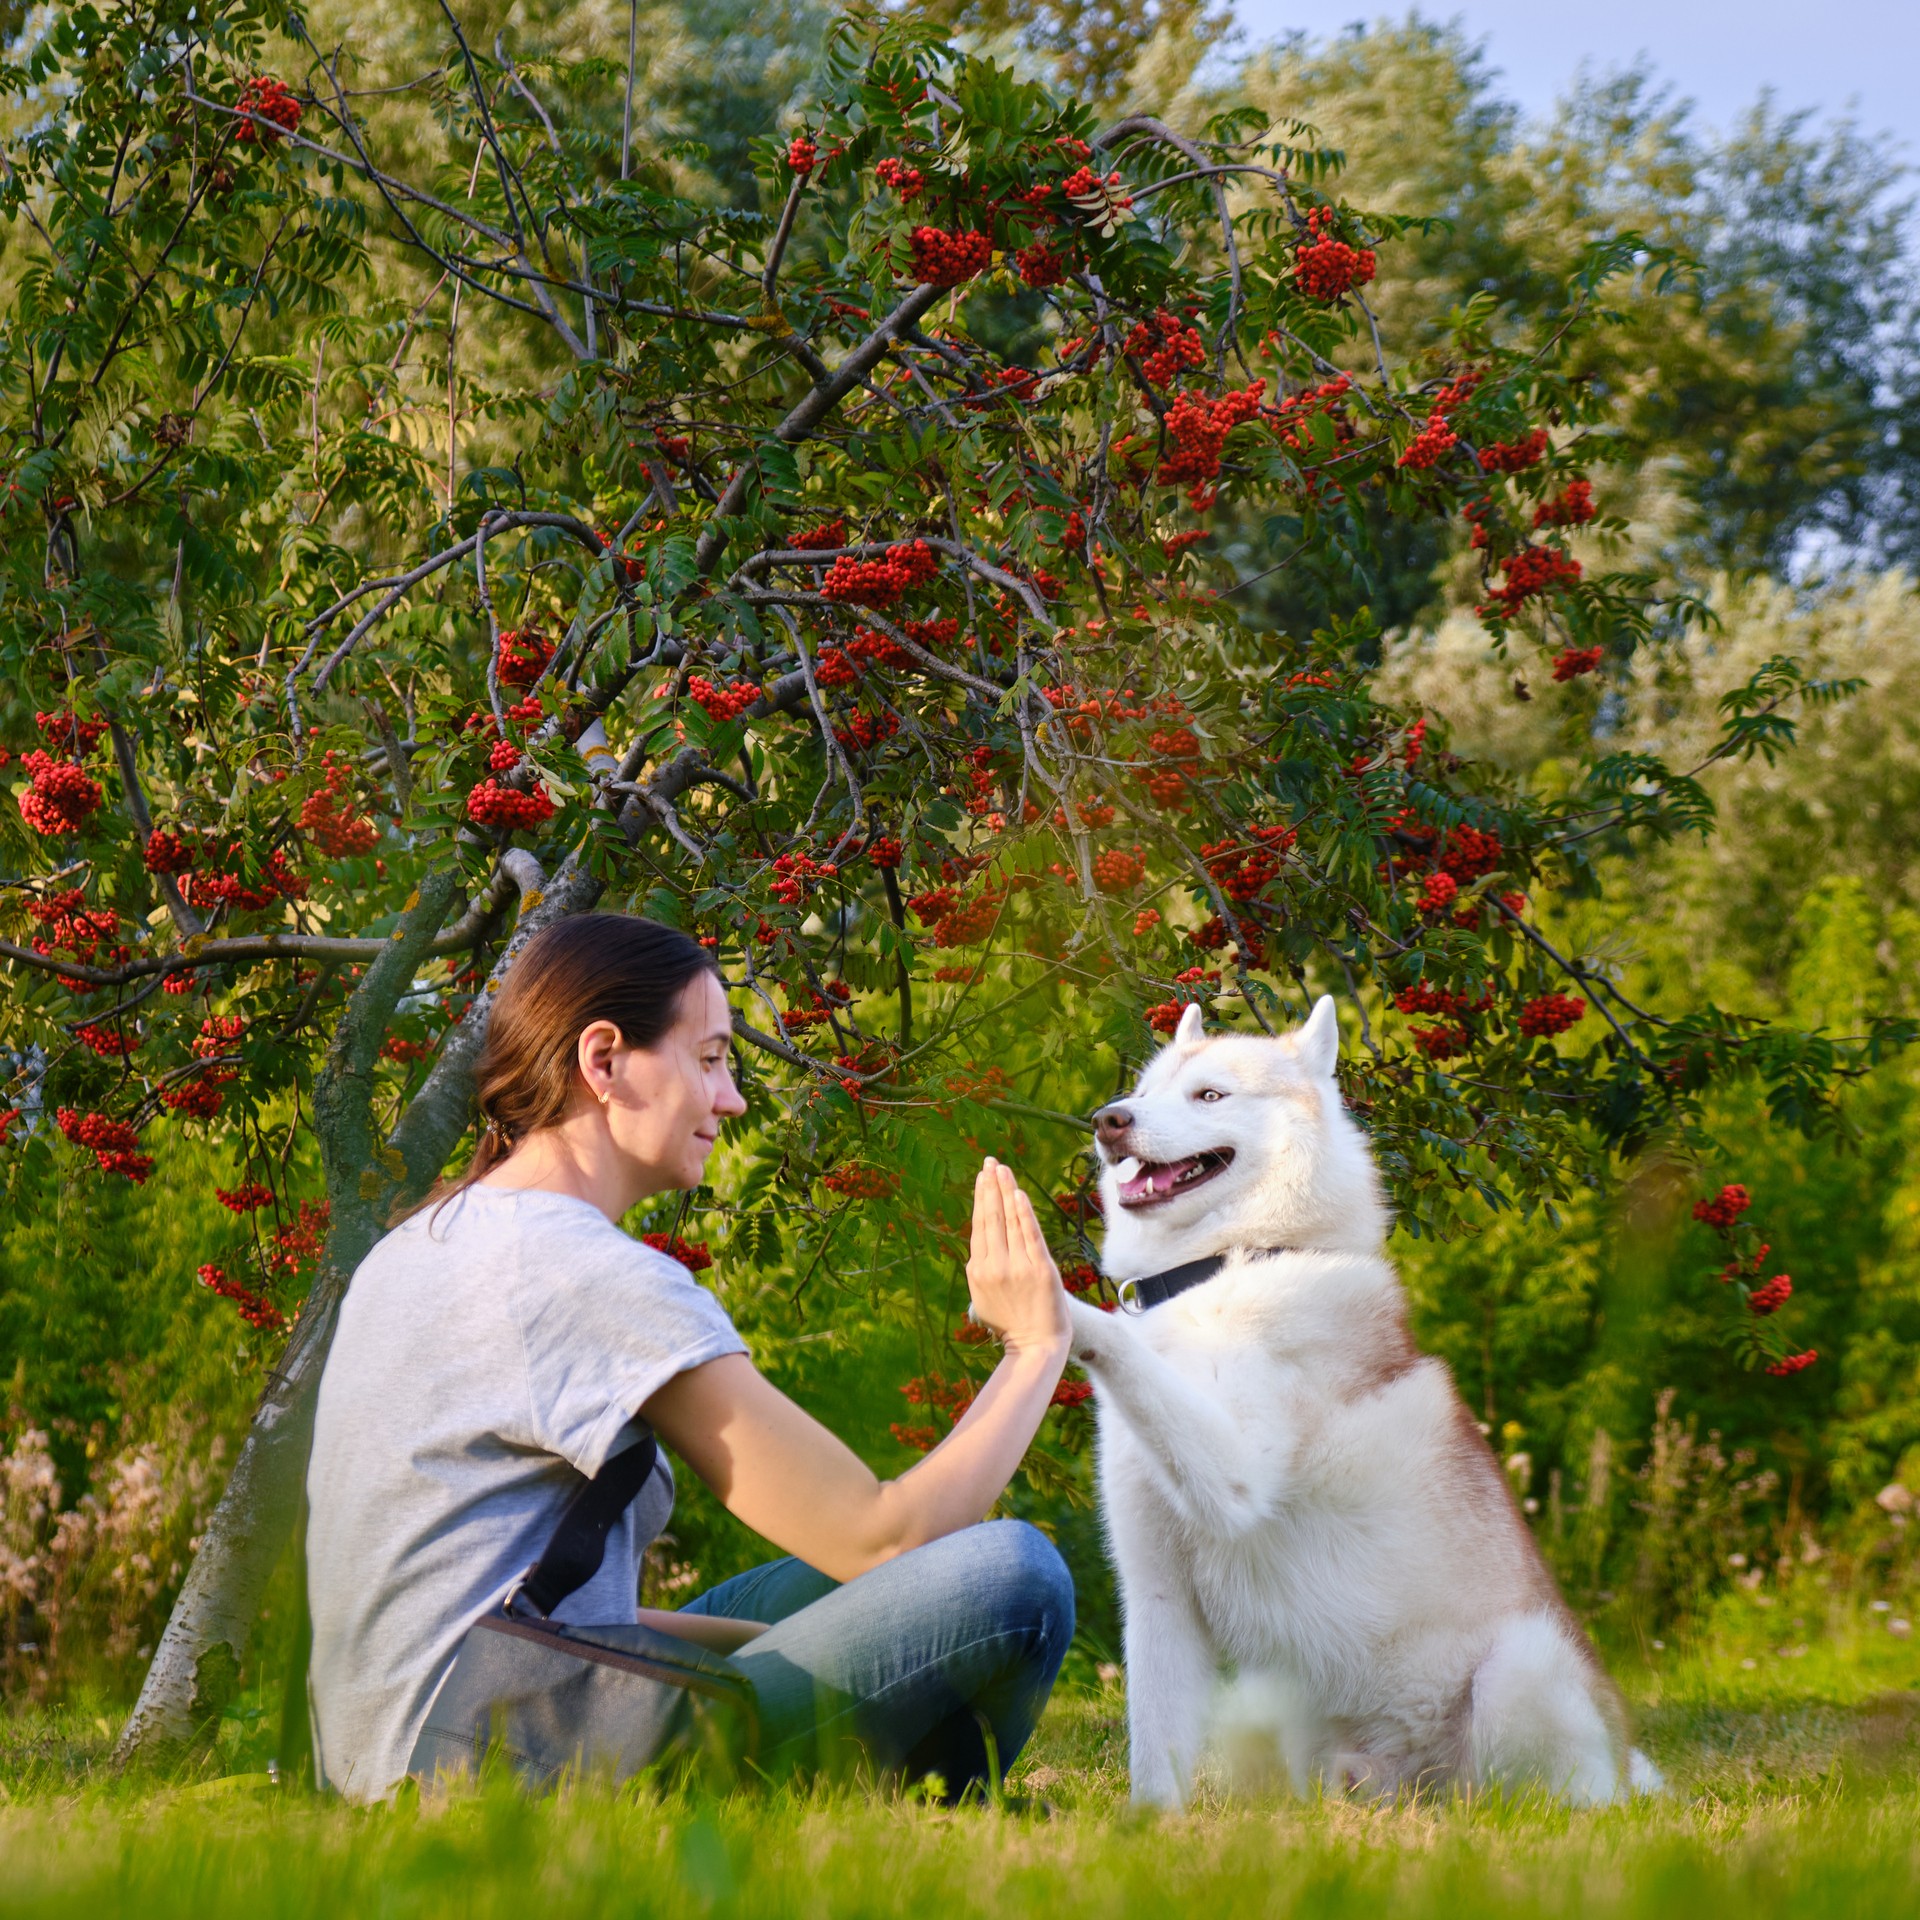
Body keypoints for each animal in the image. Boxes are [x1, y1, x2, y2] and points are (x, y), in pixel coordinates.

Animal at [1067, 998, 1666, 1804]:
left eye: (1210, 1095)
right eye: (1144, 1089)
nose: (1110, 1120)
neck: (1226, 1267)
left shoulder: (1231, 1477)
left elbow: (1115, 1343)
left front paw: (1043, 1295)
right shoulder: (1158, 1599)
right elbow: (1155, 1758)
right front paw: (1151, 1825)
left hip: (1523, 1666)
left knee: (1549, 1803)